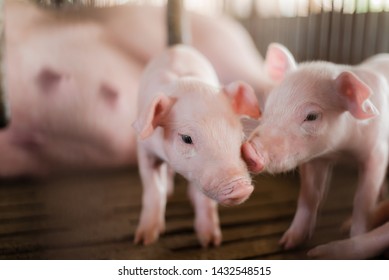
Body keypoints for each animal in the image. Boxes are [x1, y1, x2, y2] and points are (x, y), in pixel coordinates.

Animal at [134, 44, 260, 246]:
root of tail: (178, 46)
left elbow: (205, 200)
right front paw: (144, 240)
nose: (241, 187)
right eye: (186, 138)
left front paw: (210, 242)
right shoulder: (145, 150)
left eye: (239, 135)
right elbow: (154, 190)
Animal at [241, 43, 386, 249]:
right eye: (269, 105)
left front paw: (355, 237)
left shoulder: (377, 153)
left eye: (311, 116)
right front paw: (287, 243)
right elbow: (309, 195)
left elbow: (363, 200)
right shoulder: (314, 158)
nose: (249, 149)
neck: (341, 152)